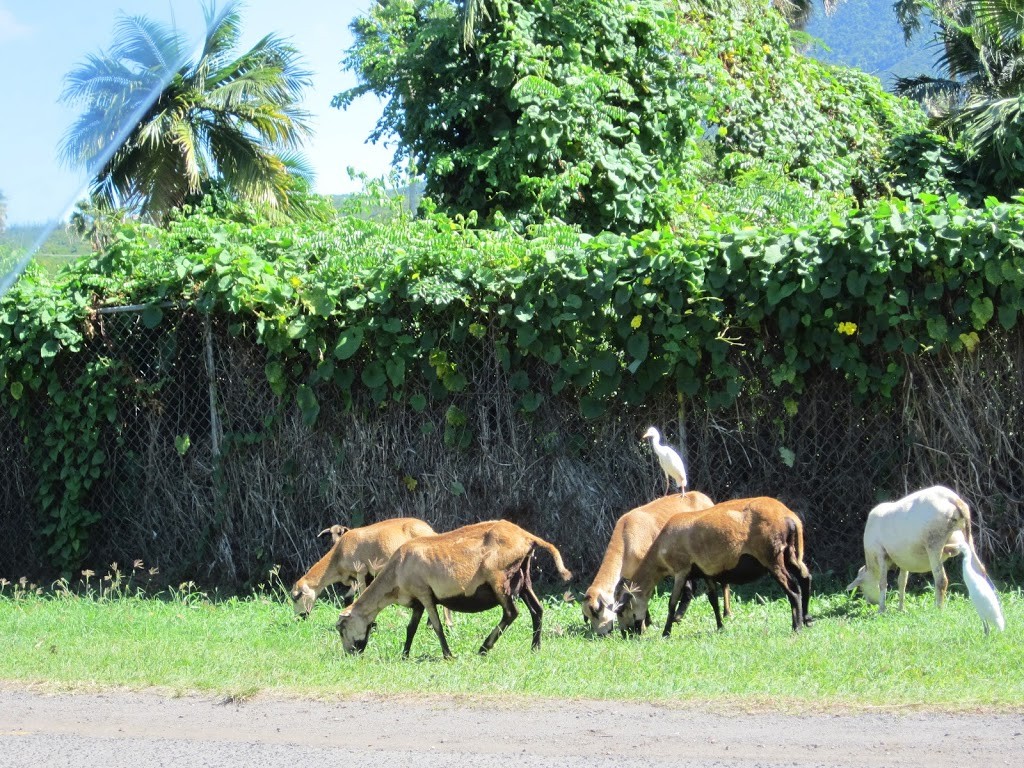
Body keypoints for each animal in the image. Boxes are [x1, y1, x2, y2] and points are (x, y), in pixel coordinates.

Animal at [288, 518, 436, 618]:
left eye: (297, 596)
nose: (299, 618)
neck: (337, 557)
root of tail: (431, 531)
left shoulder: (361, 571)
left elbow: (361, 593)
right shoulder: (351, 577)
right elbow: (348, 597)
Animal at [339, 520, 573, 659]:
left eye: (341, 629)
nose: (351, 654)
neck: (396, 573)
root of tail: (527, 537)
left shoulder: (425, 593)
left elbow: (437, 627)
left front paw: (448, 655)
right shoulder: (418, 600)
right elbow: (411, 628)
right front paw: (404, 655)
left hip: (499, 578)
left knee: (511, 613)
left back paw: (484, 648)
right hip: (522, 579)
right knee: (537, 610)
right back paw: (535, 648)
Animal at [585, 493, 729, 638]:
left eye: (596, 612)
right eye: (587, 616)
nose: (601, 634)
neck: (624, 542)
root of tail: (703, 496)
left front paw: (646, 624)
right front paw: (648, 622)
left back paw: (727, 613)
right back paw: (679, 616)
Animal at [618, 499, 811, 638]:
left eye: (621, 611)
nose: (626, 635)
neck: (659, 555)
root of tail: (789, 517)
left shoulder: (681, 570)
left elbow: (672, 603)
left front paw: (666, 633)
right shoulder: (707, 572)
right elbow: (713, 601)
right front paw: (720, 627)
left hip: (771, 557)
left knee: (793, 590)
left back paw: (797, 627)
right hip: (790, 553)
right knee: (805, 578)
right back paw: (807, 619)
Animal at [839, 487, 983, 614]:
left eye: (861, 587)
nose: (871, 603)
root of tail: (952, 498)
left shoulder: (880, 553)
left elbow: (883, 583)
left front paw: (881, 610)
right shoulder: (904, 559)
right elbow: (902, 582)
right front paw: (901, 609)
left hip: (934, 543)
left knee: (941, 580)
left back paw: (938, 610)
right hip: (965, 534)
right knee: (980, 569)